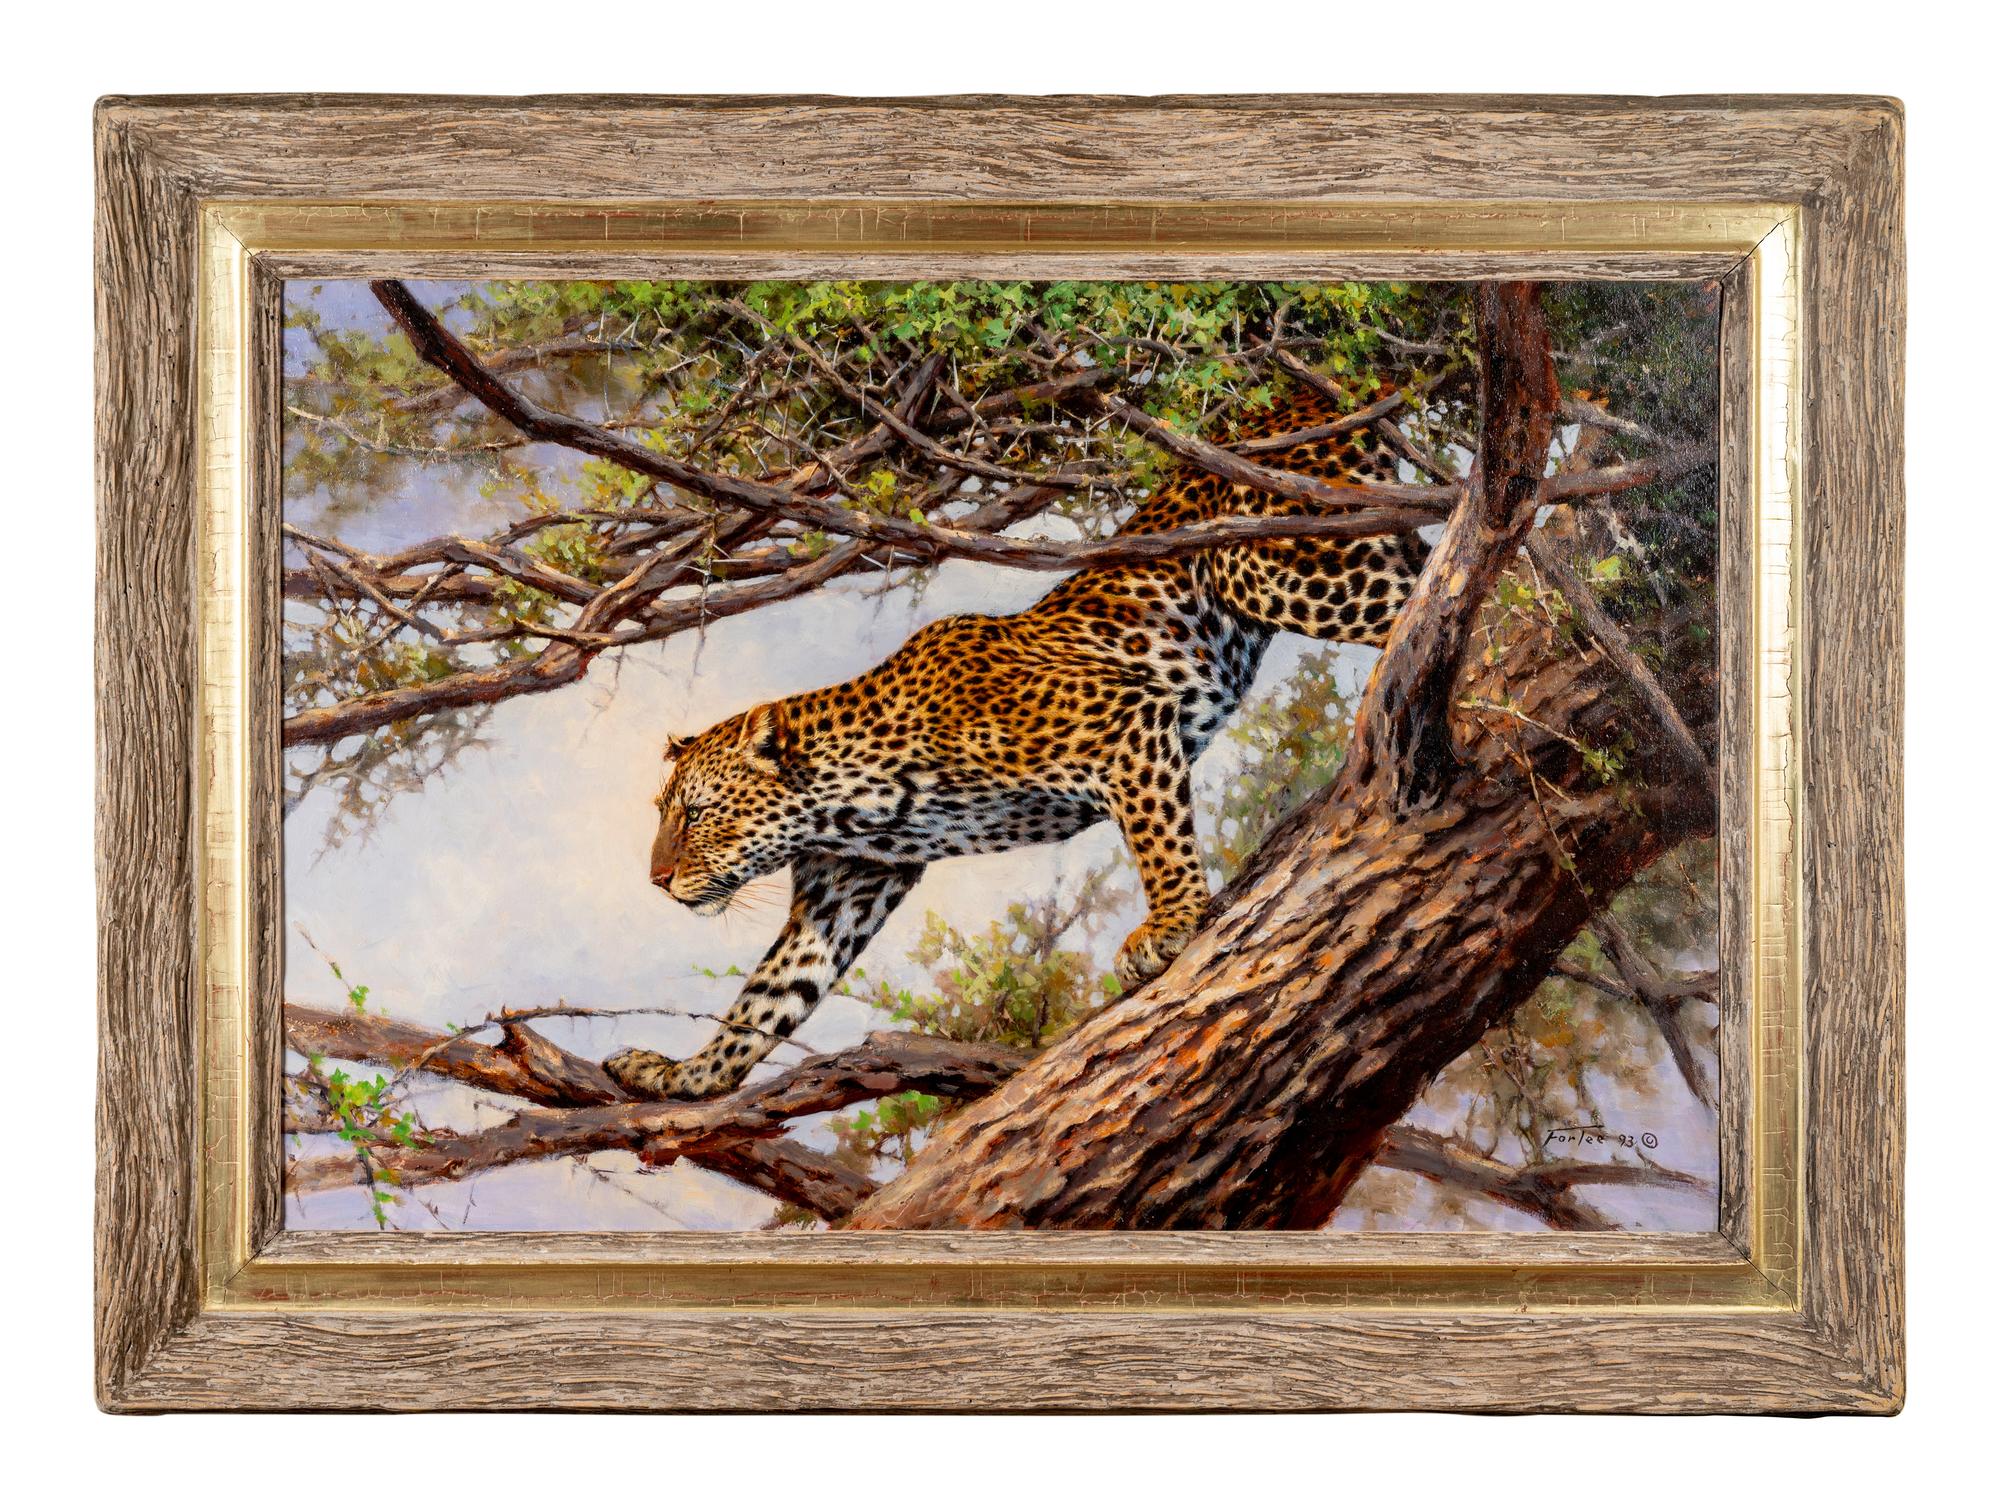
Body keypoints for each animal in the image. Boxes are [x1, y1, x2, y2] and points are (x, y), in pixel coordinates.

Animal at [605, 384, 1431, 1101]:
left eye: (697, 813)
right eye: (665, 813)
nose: (655, 880)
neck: (846, 801)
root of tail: (1301, 397)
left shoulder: (1122, 721)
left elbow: (1158, 842)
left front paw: (1169, 926)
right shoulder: (844, 891)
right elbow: (766, 1000)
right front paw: (682, 1078)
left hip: (1272, 565)